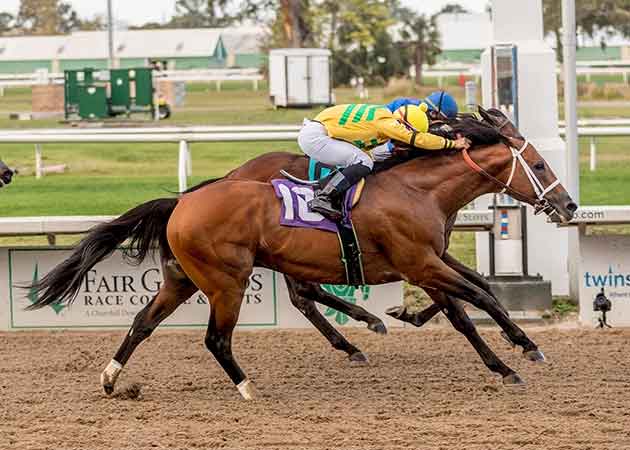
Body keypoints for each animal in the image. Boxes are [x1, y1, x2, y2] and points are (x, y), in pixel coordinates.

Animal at [28, 114, 576, 400]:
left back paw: (110, 379)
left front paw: (509, 353)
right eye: (540, 163)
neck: (416, 189)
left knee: (143, 321)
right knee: (220, 337)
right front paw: (519, 352)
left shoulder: (429, 262)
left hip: (182, 279)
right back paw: (249, 387)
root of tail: (182, 202)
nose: (569, 205)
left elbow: (469, 301)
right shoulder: (421, 263)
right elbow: (479, 300)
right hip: (226, 281)